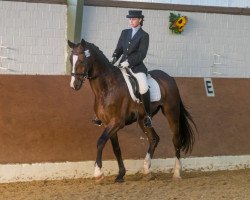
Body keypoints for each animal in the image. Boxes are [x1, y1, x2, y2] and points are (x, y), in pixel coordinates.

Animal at [67, 39, 196, 183]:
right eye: (71, 60)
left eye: (82, 60)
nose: (74, 85)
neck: (107, 88)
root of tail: (170, 78)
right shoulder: (108, 123)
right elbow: (116, 148)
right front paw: (120, 175)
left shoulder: (117, 122)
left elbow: (100, 141)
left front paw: (98, 173)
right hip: (143, 119)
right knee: (154, 139)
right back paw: (147, 171)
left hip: (171, 112)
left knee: (176, 139)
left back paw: (177, 173)